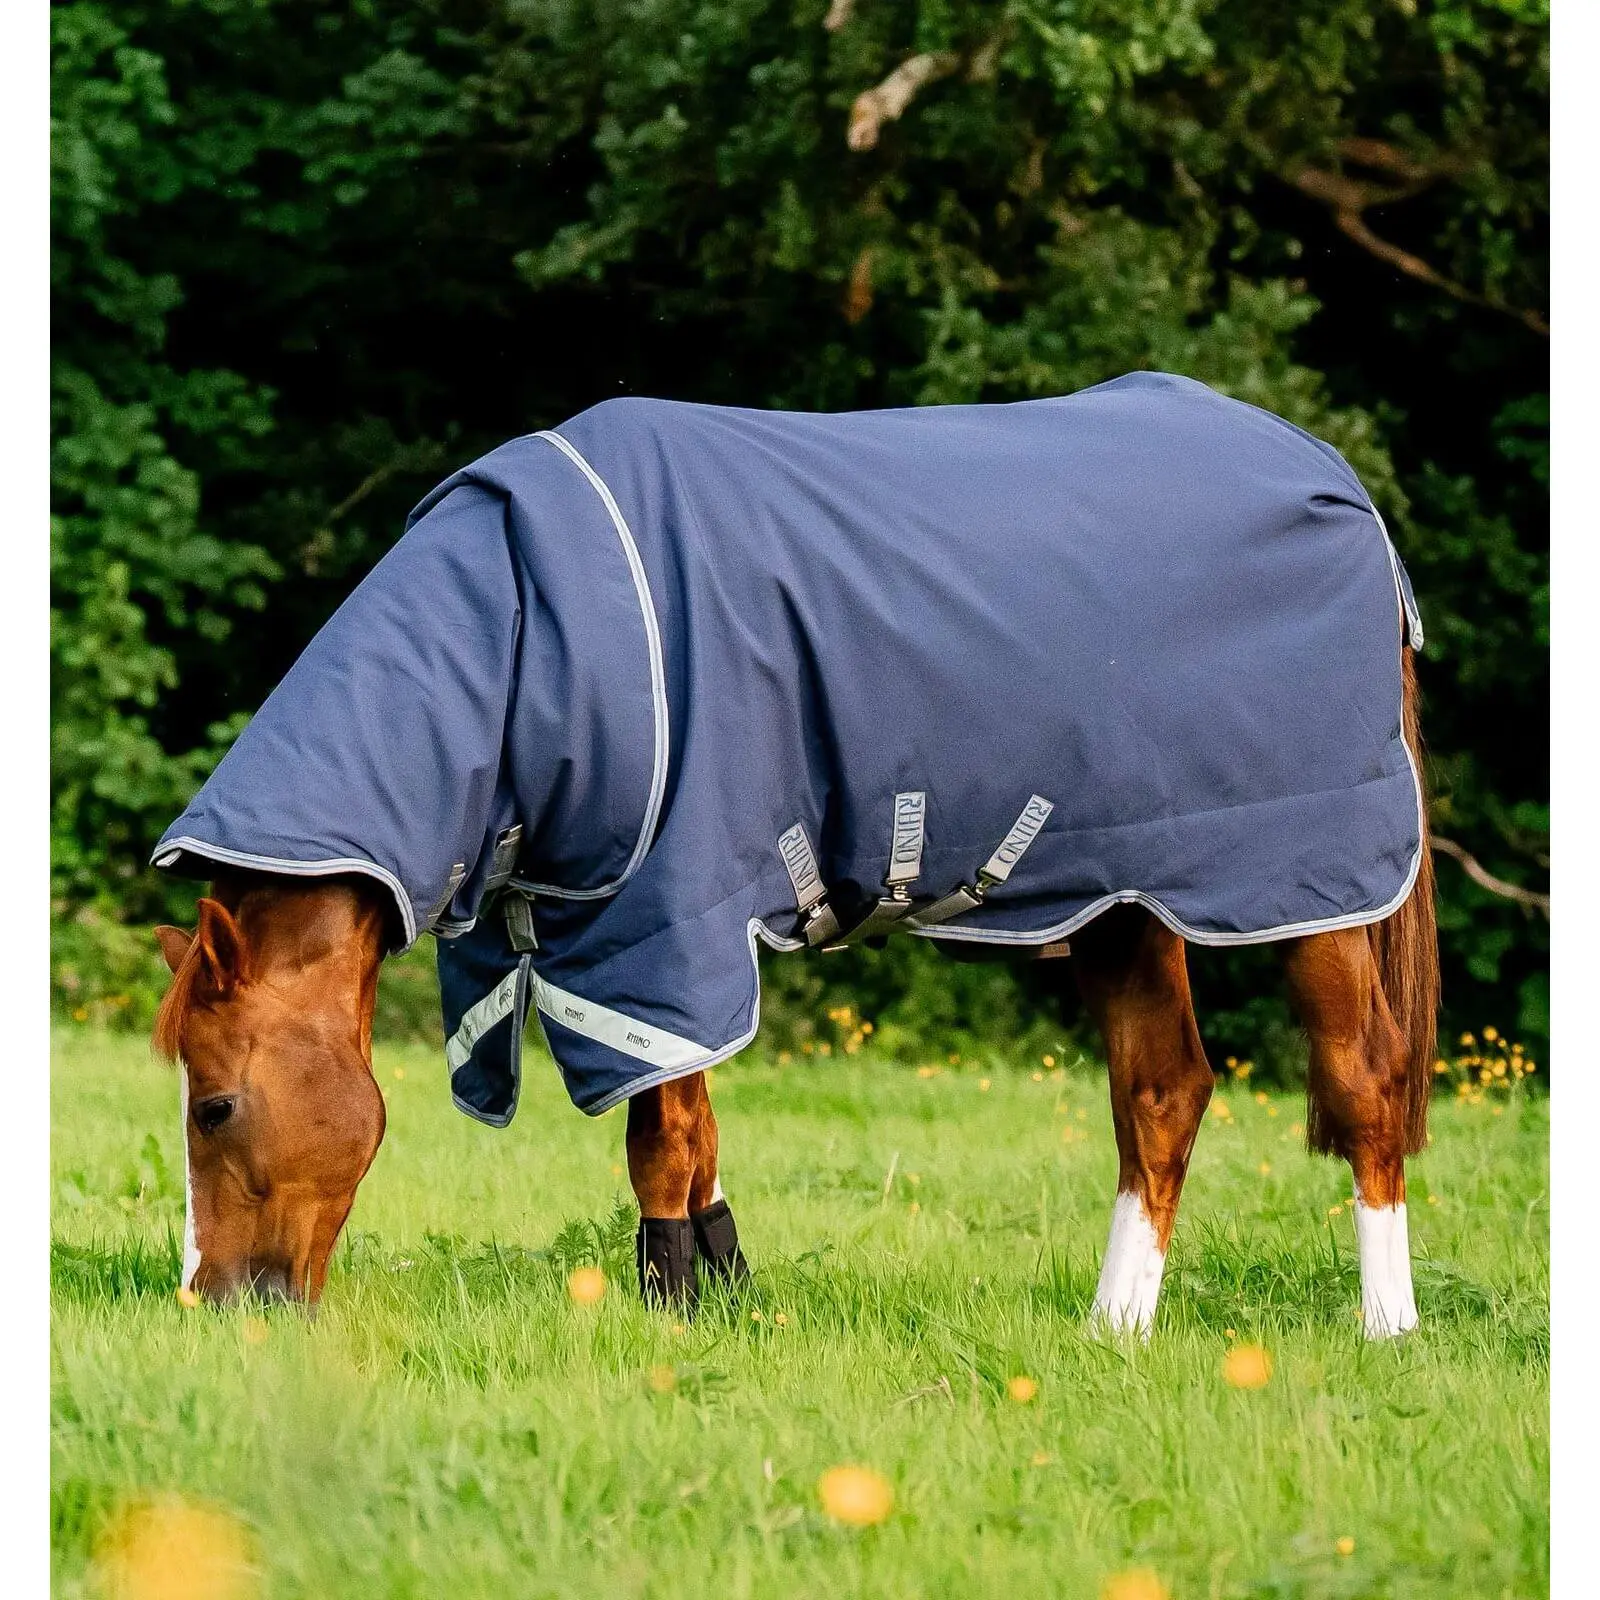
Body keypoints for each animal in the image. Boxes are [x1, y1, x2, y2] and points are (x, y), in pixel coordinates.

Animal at [148, 374, 1438, 1335]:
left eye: (213, 1105)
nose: (214, 1301)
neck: (523, 642)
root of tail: (1340, 488)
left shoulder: (666, 917)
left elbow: (659, 1139)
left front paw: (671, 1311)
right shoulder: (644, 935)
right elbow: (697, 1129)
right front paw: (723, 1293)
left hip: (1311, 883)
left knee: (1364, 1082)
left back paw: (1387, 1326)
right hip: (1125, 895)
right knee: (1163, 1092)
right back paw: (1112, 1328)